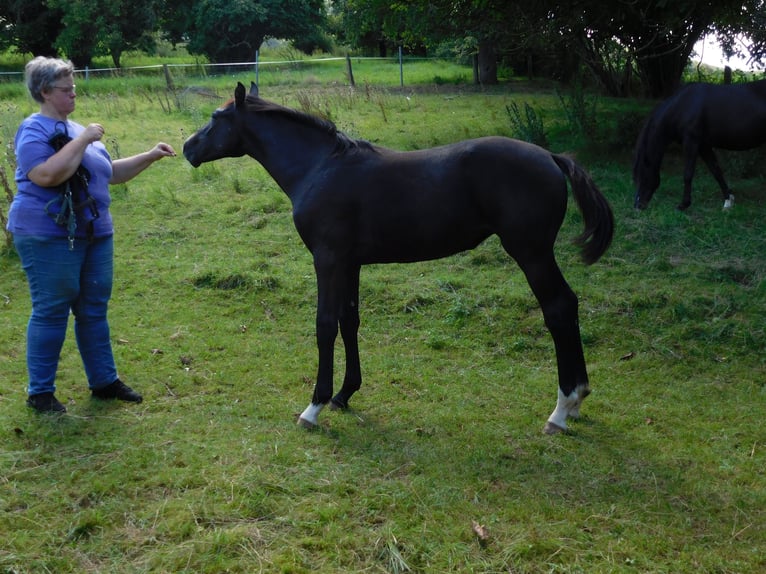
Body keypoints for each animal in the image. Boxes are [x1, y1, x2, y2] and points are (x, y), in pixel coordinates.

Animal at [183, 83, 616, 434]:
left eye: (216, 117)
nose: (187, 148)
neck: (319, 168)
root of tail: (551, 156)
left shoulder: (327, 259)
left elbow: (325, 325)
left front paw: (314, 406)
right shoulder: (350, 263)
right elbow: (349, 321)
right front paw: (344, 395)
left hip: (531, 252)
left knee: (558, 308)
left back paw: (561, 409)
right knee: (568, 305)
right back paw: (576, 402)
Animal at [632, 78, 766, 209]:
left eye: (642, 174)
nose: (638, 205)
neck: (683, 106)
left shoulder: (691, 142)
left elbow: (688, 173)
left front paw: (684, 204)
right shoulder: (704, 146)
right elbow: (716, 171)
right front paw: (728, 201)